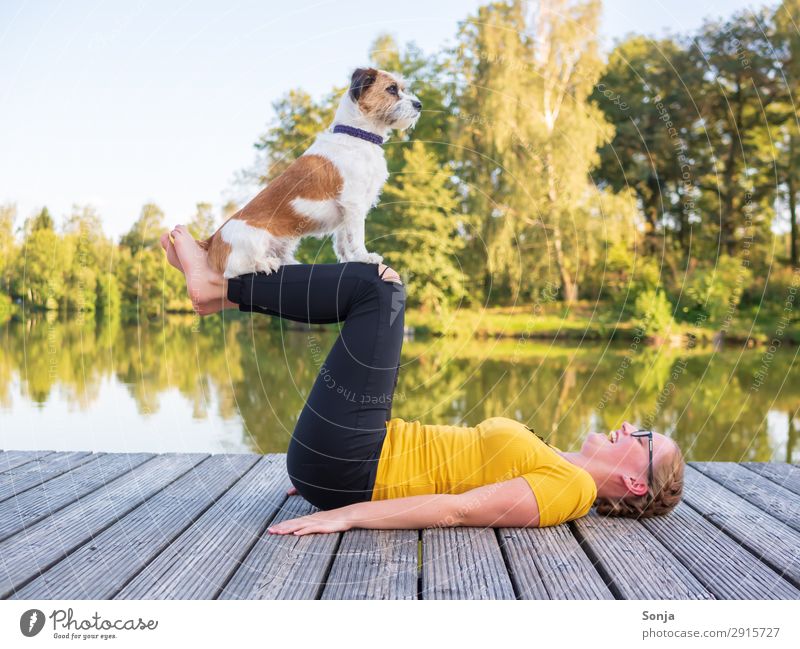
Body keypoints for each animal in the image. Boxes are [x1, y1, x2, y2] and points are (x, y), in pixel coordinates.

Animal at [200, 66, 422, 276]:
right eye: (392, 89)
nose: (419, 105)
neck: (357, 135)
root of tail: (211, 241)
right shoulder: (354, 202)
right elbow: (356, 236)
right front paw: (365, 257)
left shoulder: (347, 210)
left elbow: (343, 240)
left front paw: (350, 259)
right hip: (254, 239)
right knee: (233, 270)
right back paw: (265, 264)